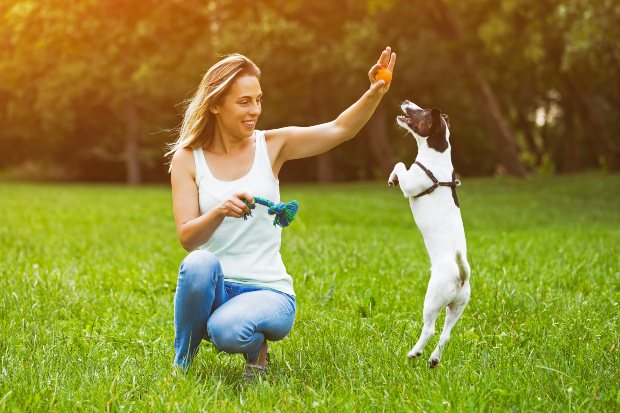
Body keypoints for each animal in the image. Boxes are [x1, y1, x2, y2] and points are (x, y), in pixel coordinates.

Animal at [390, 100, 472, 366]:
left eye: (423, 112)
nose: (406, 101)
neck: (437, 157)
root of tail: (461, 275)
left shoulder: (410, 183)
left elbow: (399, 165)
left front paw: (392, 178)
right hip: (457, 307)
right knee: (446, 335)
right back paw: (434, 359)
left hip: (432, 300)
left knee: (430, 329)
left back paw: (414, 352)